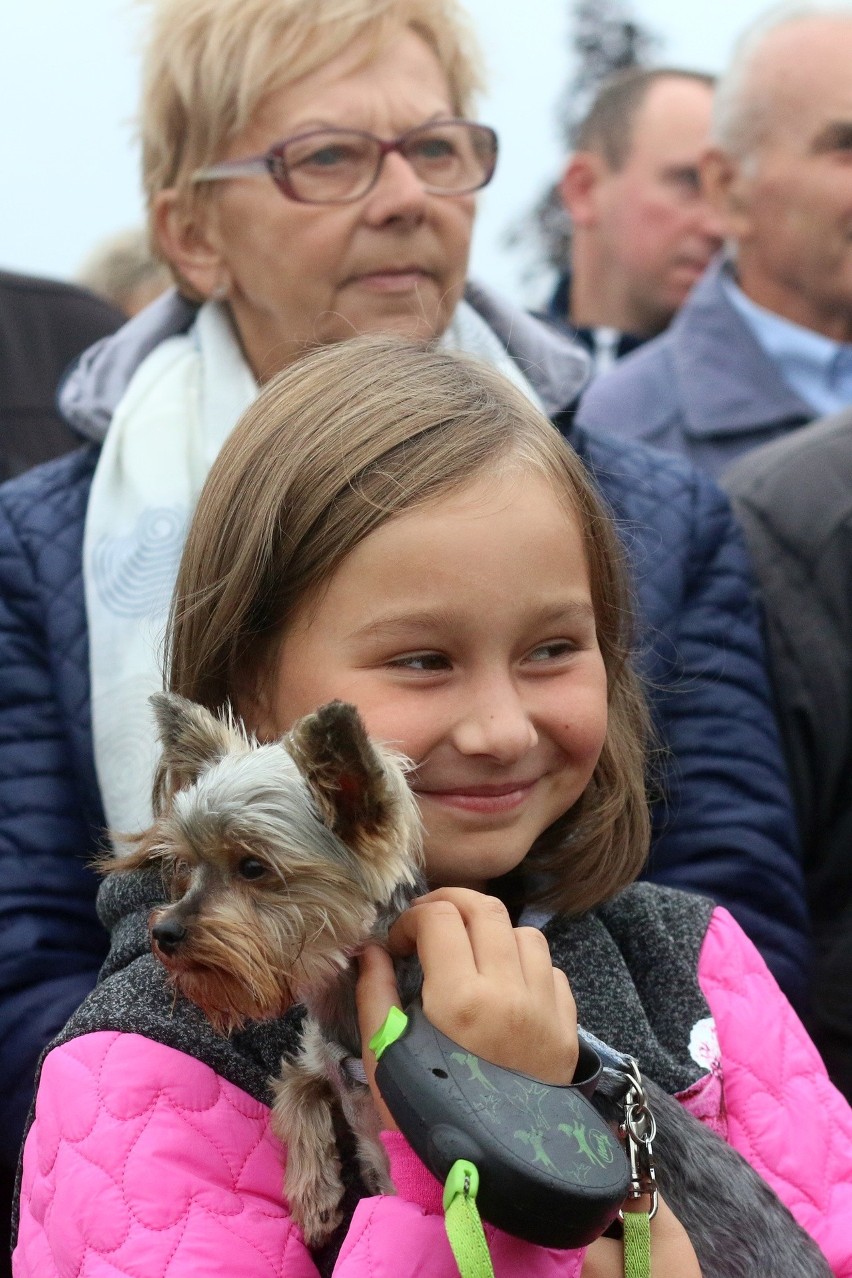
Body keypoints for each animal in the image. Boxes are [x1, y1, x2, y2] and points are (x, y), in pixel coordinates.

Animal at [106, 695, 426, 1242]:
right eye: (186, 864)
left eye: (253, 867)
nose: (163, 932)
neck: (341, 998)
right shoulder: (317, 1057)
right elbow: (294, 1092)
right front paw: (314, 1192)